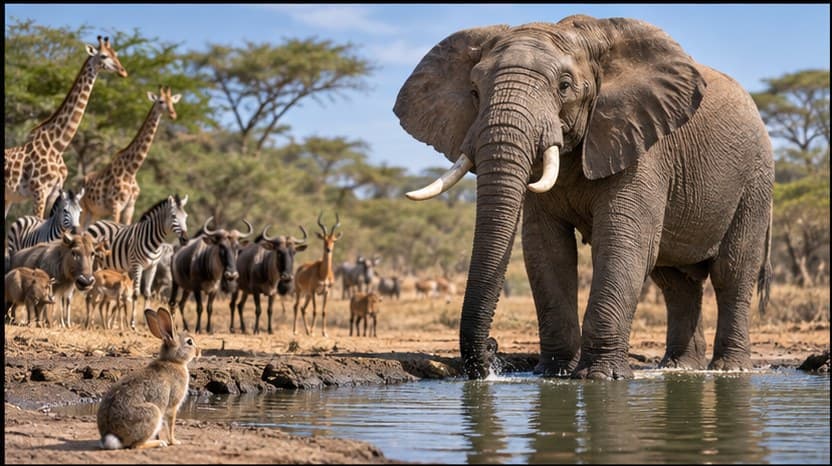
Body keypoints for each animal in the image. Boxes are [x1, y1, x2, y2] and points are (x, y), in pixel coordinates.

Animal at [393, 15, 774, 380]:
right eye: (474, 91)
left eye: (564, 86)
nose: (490, 351)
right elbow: (546, 249)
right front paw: (554, 372)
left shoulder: (642, 146)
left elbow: (622, 243)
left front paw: (599, 376)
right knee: (675, 283)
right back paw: (679, 368)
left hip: (755, 181)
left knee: (731, 271)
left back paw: (730, 369)